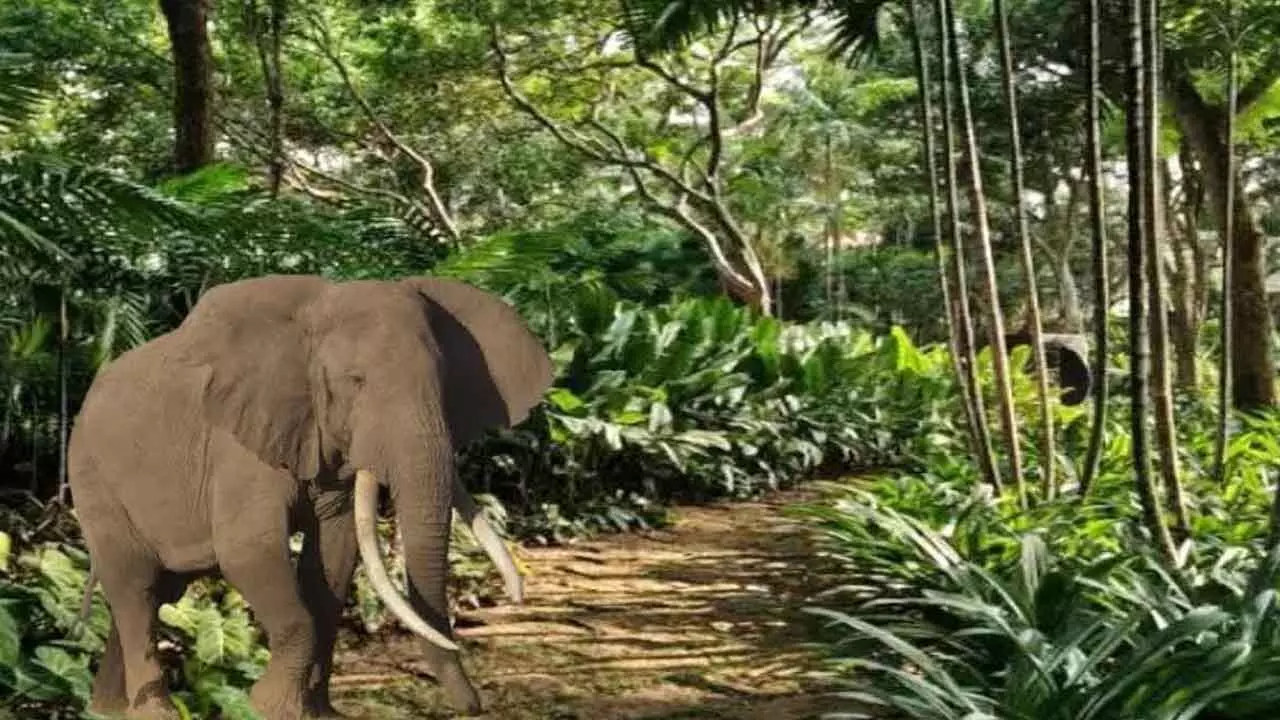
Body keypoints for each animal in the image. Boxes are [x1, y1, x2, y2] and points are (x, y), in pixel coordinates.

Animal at [67, 274, 554, 720]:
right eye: (355, 381)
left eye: (446, 382)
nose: (476, 706)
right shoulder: (238, 444)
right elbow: (248, 551)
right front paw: (266, 706)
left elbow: (334, 557)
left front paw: (315, 713)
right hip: (93, 479)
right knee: (135, 587)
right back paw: (155, 713)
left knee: (154, 592)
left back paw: (105, 709)